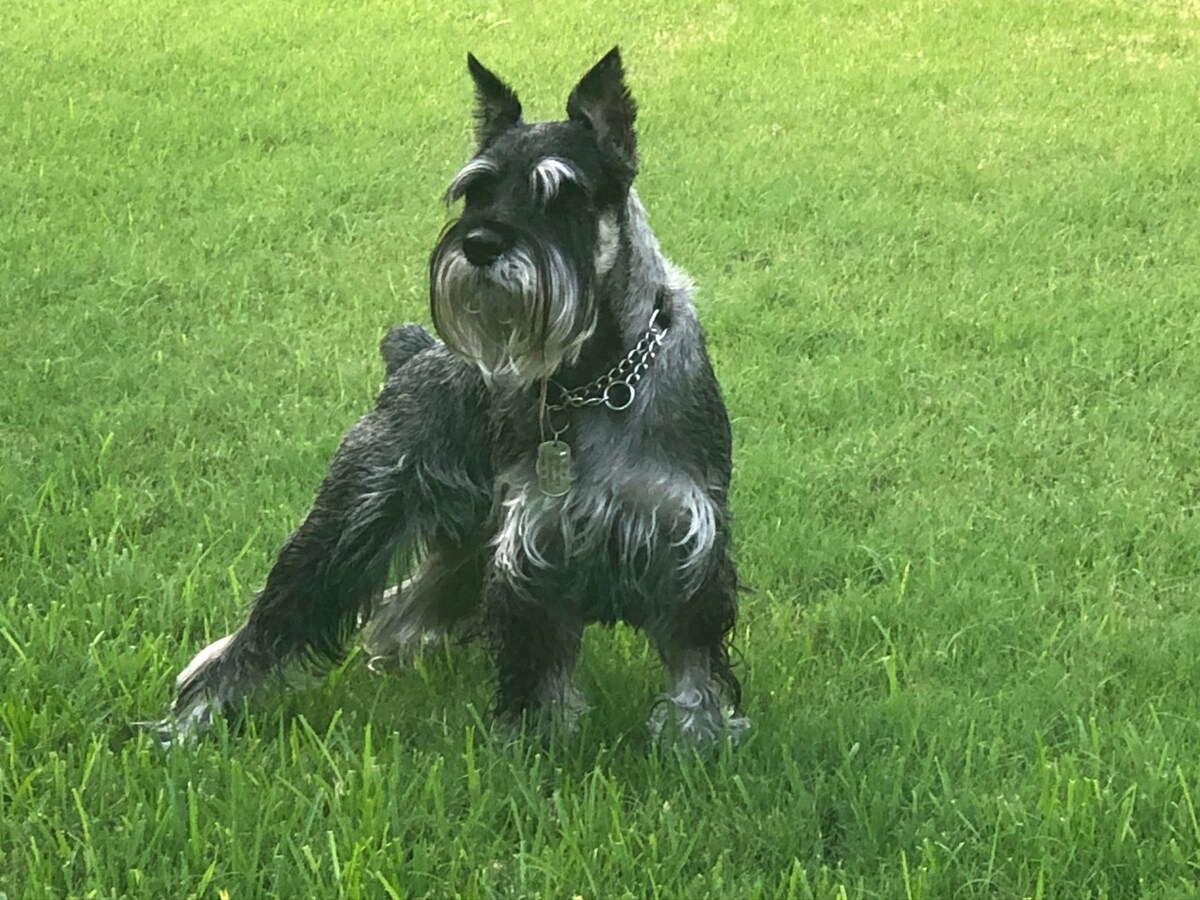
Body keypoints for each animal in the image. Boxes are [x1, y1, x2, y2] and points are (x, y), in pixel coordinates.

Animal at [166, 45, 748, 744]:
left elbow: (693, 658)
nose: (479, 243)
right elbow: (538, 662)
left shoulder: (687, 540)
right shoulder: (534, 551)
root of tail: (411, 356)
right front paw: (537, 741)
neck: (600, 379)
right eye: (476, 191)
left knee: (399, 605)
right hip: (352, 523)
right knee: (266, 625)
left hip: (467, 546)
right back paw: (187, 722)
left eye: (560, 194)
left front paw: (699, 736)